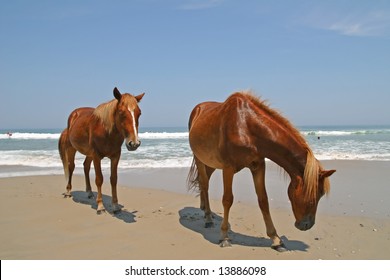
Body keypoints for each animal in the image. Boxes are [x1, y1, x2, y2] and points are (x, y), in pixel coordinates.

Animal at [188, 92, 336, 252]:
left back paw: (204, 210)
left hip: (211, 163)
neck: (246, 126)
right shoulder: (228, 168)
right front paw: (225, 237)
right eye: (313, 193)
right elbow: (227, 200)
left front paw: (276, 239)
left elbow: (263, 200)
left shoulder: (258, 166)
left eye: (321, 194)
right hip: (199, 159)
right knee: (204, 184)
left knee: (204, 182)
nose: (306, 225)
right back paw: (208, 218)